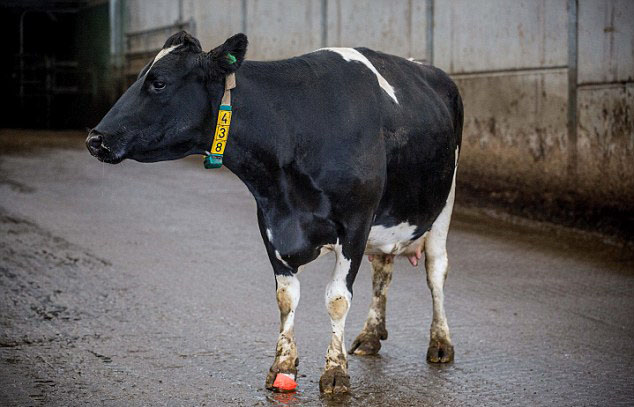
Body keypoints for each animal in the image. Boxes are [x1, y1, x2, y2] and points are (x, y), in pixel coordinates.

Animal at [86, 31, 462, 396]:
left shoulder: (355, 223)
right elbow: (285, 297)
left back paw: (441, 342)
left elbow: (337, 299)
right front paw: (283, 365)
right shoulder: (270, 220)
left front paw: (335, 372)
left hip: (444, 203)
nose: (95, 139)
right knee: (383, 268)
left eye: (159, 82)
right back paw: (371, 335)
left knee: (436, 270)